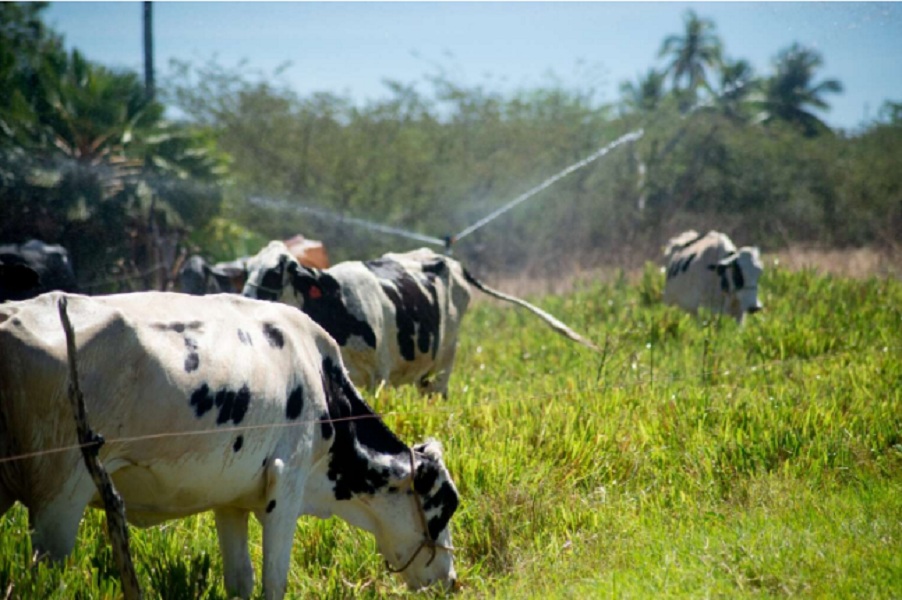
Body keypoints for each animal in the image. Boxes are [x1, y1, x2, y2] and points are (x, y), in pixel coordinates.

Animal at [0, 291, 459, 599]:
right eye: (445, 507)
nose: (452, 581)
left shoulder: (231, 500)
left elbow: (241, 580)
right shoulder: (287, 485)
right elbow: (274, 583)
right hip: (61, 494)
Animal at [242, 241, 598, 397]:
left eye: (276, 272)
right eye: (248, 268)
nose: (245, 297)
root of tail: (447, 260)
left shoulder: (378, 377)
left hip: (445, 360)